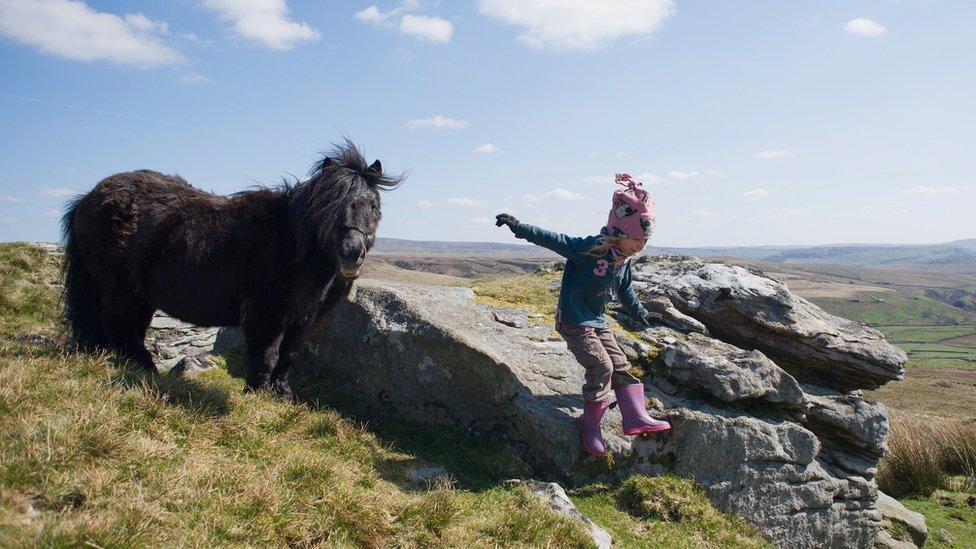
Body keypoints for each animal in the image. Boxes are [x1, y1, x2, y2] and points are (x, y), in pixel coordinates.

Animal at [59, 140, 402, 398]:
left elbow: (288, 355)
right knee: (122, 330)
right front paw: (257, 393)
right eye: (328, 206)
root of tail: (87, 198)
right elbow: (266, 354)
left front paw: (282, 393)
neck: (292, 242)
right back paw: (144, 371)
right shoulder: (267, 313)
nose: (352, 254)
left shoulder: (302, 316)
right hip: (119, 291)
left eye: (372, 205)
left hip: (136, 296)